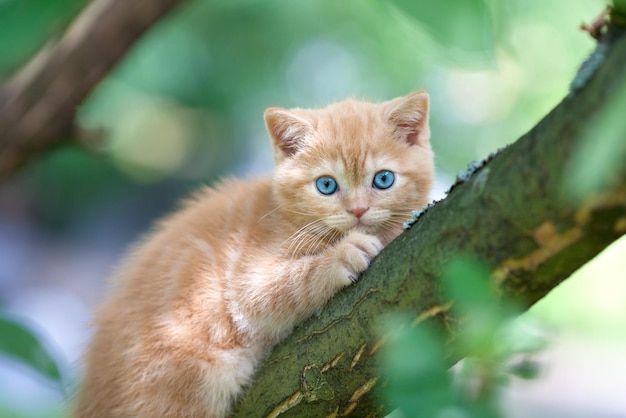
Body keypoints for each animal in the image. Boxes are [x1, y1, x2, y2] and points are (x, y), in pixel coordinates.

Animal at [75, 90, 432, 416]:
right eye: (327, 185)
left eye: (383, 179)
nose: (358, 210)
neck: (284, 216)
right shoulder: (246, 280)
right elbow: (286, 285)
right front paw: (344, 255)